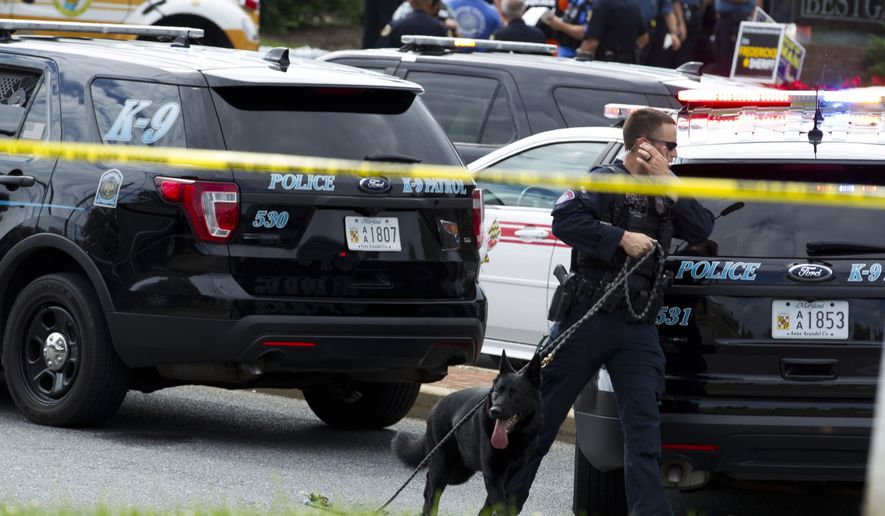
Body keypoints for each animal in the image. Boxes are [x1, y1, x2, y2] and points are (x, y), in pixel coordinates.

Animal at [392, 352, 540, 512]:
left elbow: (490, 507)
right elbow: (501, 507)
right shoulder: (493, 477)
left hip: (458, 472)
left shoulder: (507, 477)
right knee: (432, 493)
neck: (513, 438)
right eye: (497, 392)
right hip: (444, 467)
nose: (494, 411)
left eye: (515, 393)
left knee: (428, 480)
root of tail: (436, 406)